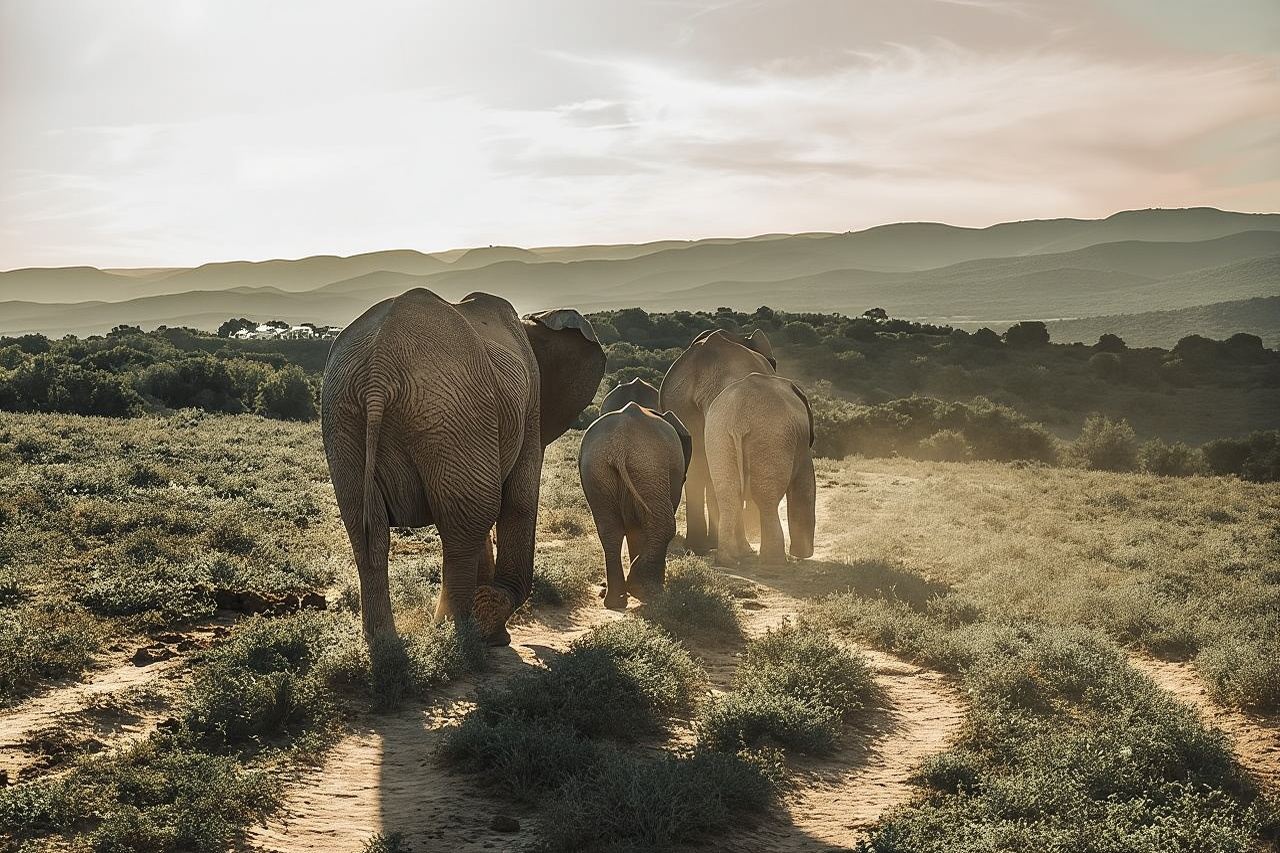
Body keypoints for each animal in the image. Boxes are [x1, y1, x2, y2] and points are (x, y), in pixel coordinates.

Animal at [321, 289, 605, 647]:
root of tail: (378, 371)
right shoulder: (530, 405)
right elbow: (519, 501)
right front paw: (492, 627)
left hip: (349, 415)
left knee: (368, 531)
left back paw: (387, 645)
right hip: (451, 412)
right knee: (469, 520)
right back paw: (458, 637)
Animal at [578, 402, 692, 609]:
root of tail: (619, 446)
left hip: (598, 471)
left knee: (609, 530)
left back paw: (616, 599)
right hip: (649, 467)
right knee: (663, 524)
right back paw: (641, 589)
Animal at [705, 372, 815, 565]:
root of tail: (738, 421)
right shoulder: (802, 444)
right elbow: (805, 484)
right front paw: (803, 556)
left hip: (718, 438)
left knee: (728, 494)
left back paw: (729, 560)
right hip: (771, 439)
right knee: (767, 499)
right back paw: (774, 562)